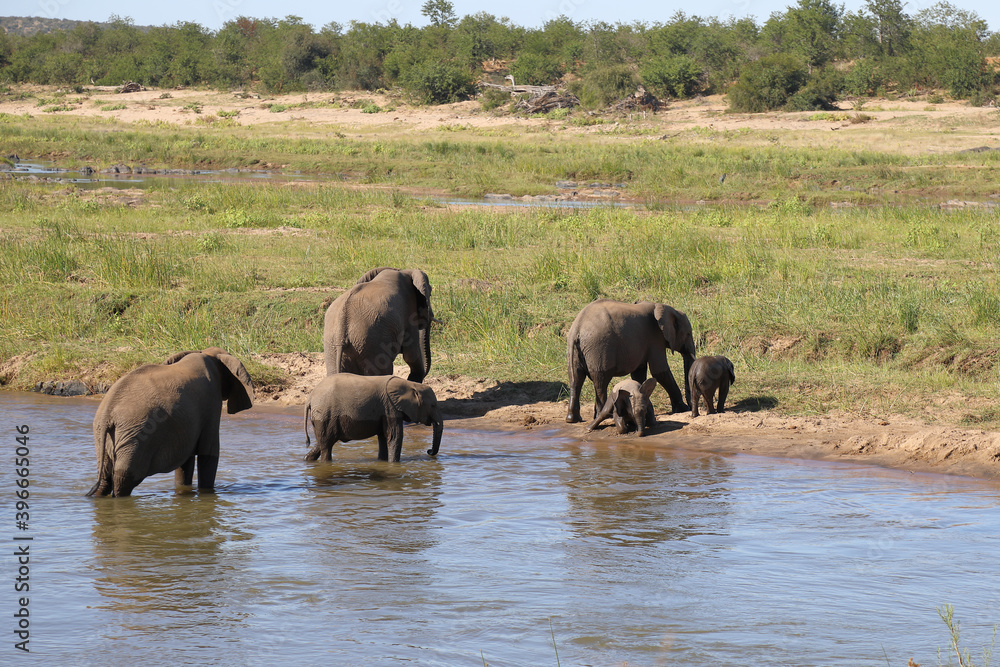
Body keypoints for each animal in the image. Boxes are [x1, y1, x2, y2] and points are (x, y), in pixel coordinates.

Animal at [87, 347, 254, 497]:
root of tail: (108, 411)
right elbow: (208, 454)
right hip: (137, 435)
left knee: (105, 478)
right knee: (124, 478)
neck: (207, 353)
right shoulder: (212, 403)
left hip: (104, 435)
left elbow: (185, 461)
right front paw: (206, 493)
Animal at [304, 373, 443, 463]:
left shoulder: (384, 410)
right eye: (433, 405)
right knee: (327, 445)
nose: (429, 451)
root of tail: (310, 397)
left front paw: (382, 462)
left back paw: (307, 460)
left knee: (323, 442)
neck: (410, 384)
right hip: (325, 414)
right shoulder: (390, 407)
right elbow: (394, 436)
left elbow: (383, 437)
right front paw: (394, 465)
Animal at [566, 299, 696, 423]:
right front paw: (683, 409)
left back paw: (573, 419)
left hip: (575, 349)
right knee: (601, 381)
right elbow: (659, 371)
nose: (691, 407)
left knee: (576, 379)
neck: (668, 309)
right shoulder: (656, 338)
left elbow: (638, 374)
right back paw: (603, 417)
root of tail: (577, 328)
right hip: (599, 348)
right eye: (688, 333)